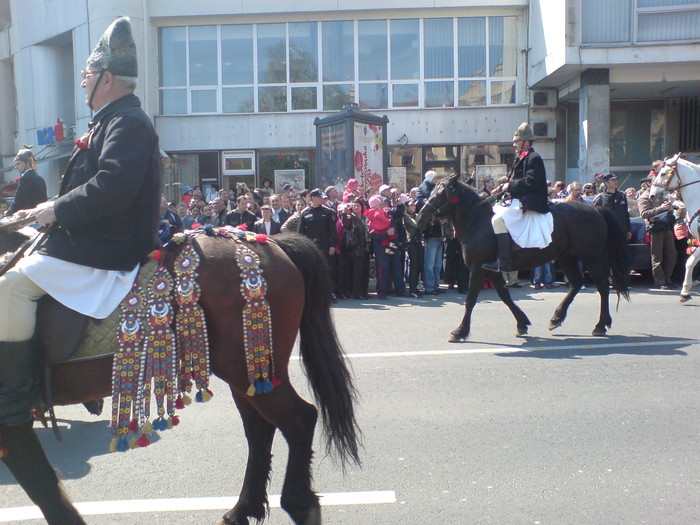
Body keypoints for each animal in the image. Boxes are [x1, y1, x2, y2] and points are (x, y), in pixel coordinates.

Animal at [0, 231, 360, 524]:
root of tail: (271, 242)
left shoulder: (11, 417)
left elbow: (41, 483)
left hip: (250, 367)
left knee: (299, 419)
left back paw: (298, 504)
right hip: (246, 374)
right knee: (261, 430)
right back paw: (243, 509)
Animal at [416, 174, 628, 342]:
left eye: (442, 193)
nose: (420, 218)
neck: (478, 223)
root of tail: (596, 209)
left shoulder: (478, 269)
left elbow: (471, 300)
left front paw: (460, 331)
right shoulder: (491, 270)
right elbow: (505, 295)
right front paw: (522, 323)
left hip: (592, 257)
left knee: (602, 286)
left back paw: (600, 325)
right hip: (566, 256)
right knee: (577, 283)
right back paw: (557, 318)